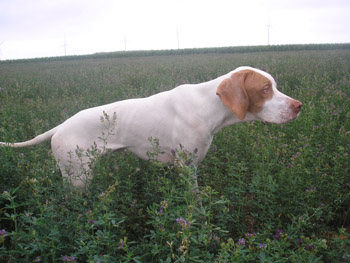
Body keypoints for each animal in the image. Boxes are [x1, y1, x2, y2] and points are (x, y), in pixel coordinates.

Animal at [0, 67, 300, 189]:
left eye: (274, 85)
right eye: (265, 88)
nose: (298, 106)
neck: (208, 107)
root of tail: (59, 127)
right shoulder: (187, 167)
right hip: (78, 179)